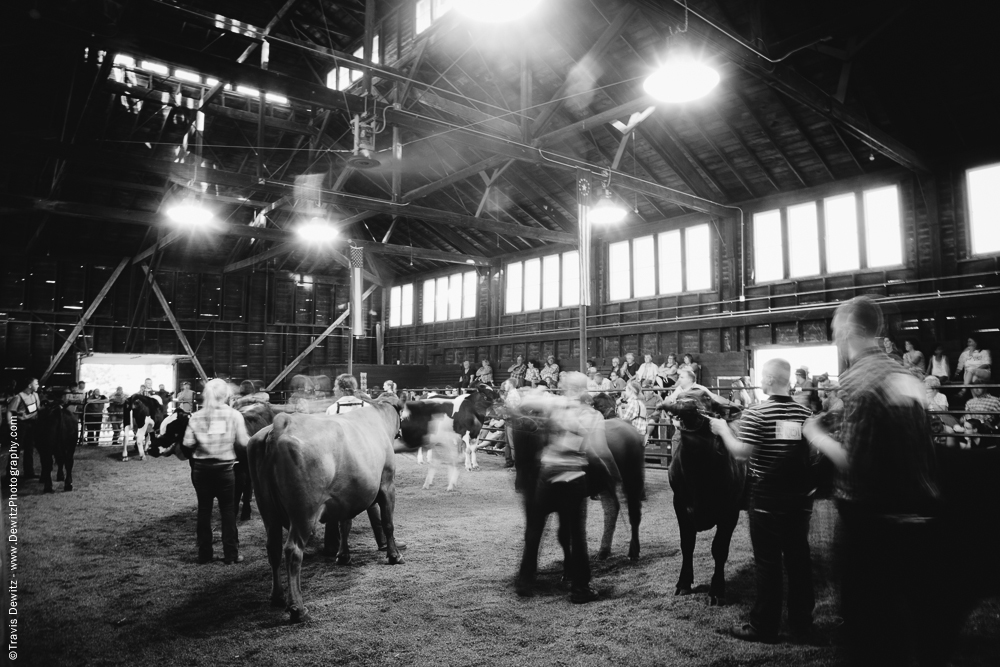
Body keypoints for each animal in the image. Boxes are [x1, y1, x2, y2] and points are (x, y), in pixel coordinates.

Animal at [248, 394, 404, 624]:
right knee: (292, 550)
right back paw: (298, 609)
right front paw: (394, 556)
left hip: (267, 509)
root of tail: (280, 425)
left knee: (273, 548)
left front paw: (343, 556)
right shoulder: (387, 483)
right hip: (303, 512)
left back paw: (277, 597)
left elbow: (344, 524)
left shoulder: (347, 496)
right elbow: (388, 523)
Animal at [660, 394, 748, 608]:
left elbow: (719, 549)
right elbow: (687, 544)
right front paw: (683, 582)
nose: (686, 404)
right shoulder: (680, 505)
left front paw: (716, 590)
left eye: (706, 397)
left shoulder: (730, 511)